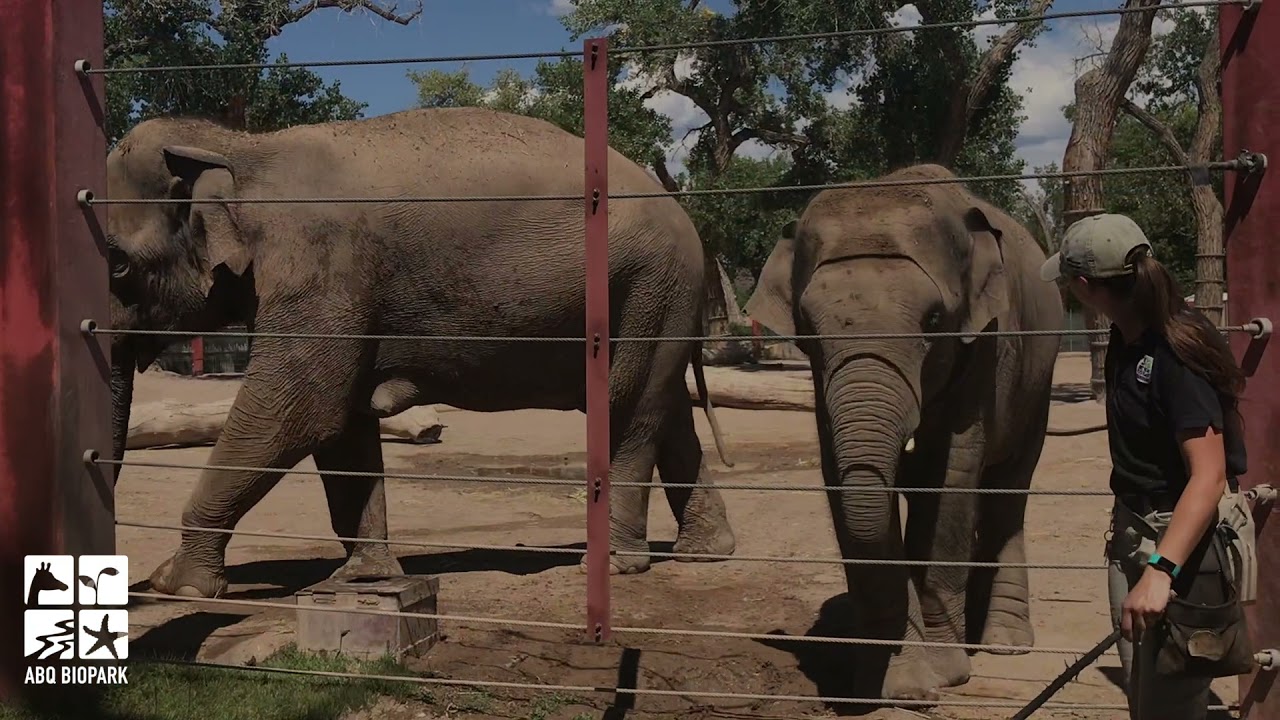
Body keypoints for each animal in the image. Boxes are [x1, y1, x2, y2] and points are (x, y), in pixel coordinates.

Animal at [105, 107, 738, 599]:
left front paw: (178, 584)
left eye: (117, 265)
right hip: (659, 298)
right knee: (666, 408)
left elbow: (299, 414)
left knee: (627, 414)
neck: (242, 147)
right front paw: (363, 578)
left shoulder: (321, 271)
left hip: (647, 286)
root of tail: (683, 212)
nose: (129, 585)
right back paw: (707, 553)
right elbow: (343, 427)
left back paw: (611, 565)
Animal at [744, 164, 1063, 701]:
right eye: (807, 327)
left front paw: (948, 675)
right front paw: (900, 688)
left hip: (1040, 380)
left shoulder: (989, 343)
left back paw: (1004, 644)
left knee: (1007, 493)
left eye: (934, 319)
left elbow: (951, 478)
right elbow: (843, 482)